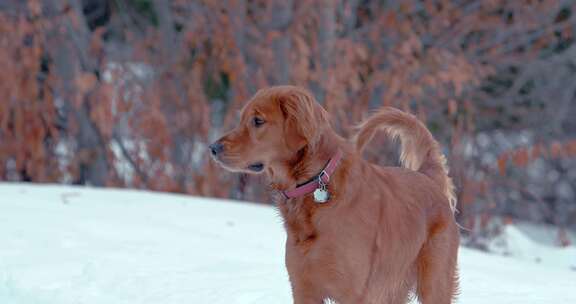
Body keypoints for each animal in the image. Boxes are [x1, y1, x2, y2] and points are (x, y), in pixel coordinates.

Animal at [210, 86, 460, 304]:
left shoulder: (356, 293)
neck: (316, 184)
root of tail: (428, 176)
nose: (213, 148)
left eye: (258, 121)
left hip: (433, 285)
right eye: (242, 119)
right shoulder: (303, 289)